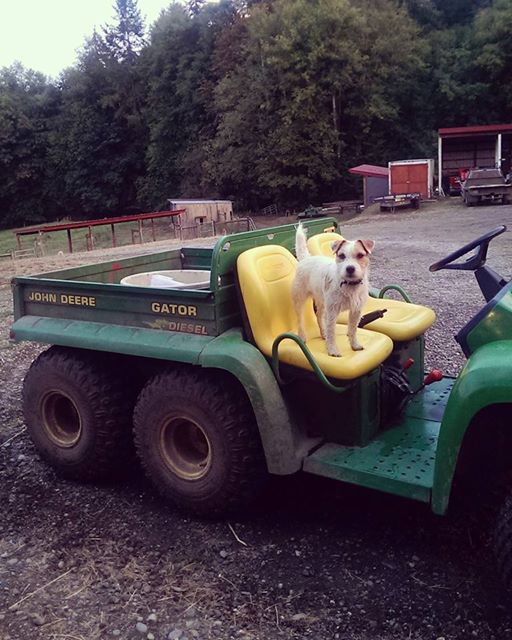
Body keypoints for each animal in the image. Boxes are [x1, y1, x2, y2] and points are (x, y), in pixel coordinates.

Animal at [294, 224, 374, 356]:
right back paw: (302, 336)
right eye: (341, 256)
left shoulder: (355, 311)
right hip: (299, 300)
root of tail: (306, 259)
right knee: (299, 319)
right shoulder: (332, 313)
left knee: (319, 316)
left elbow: (352, 330)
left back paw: (323, 333)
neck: (349, 285)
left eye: (360, 255)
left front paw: (354, 345)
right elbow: (332, 333)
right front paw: (332, 350)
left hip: (322, 301)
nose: (350, 268)